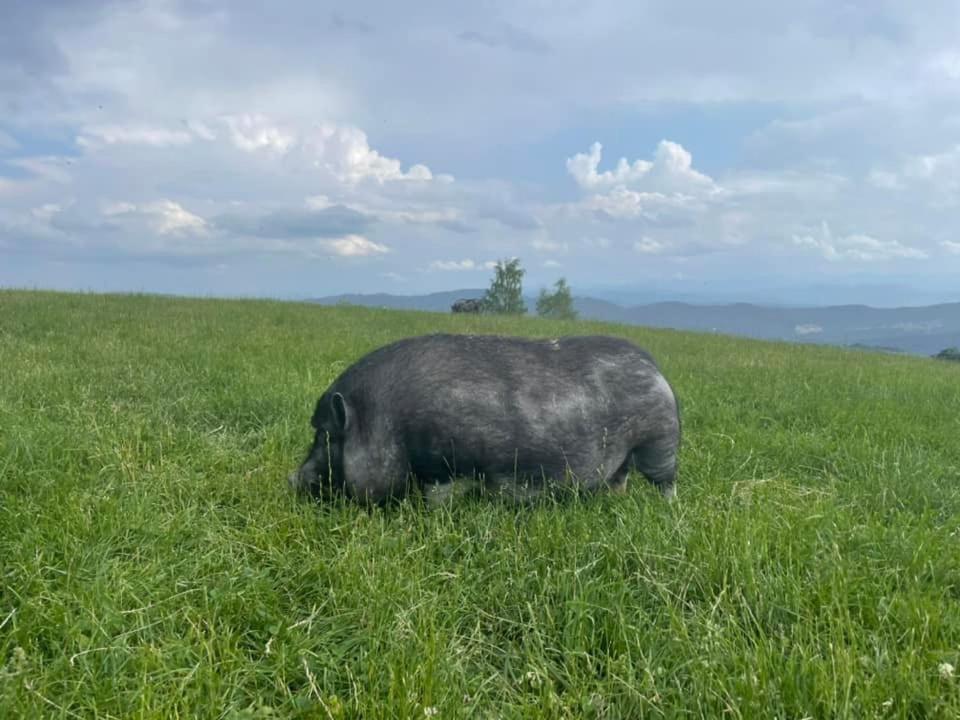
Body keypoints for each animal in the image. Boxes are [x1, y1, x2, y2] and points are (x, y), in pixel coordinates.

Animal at [286, 334, 684, 506]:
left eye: (325, 435)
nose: (290, 479)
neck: (384, 421)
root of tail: (655, 368)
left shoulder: (444, 465)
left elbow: (438, 495)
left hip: (658, 441)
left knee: (665, 480)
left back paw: (667, 509)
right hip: (628, 452)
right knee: (620, 476)